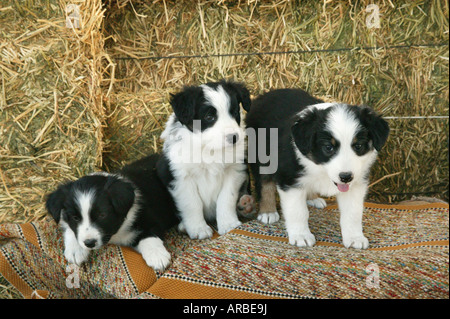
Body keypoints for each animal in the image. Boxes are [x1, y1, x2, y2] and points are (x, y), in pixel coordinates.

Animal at [45, 154, 178, 272]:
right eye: (75, 217)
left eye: (102, 215)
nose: (89, 243)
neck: (117, 233)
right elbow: (69, 226)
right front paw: (75, 250)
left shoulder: (150, 216)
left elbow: (149, 235)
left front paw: (157, 256)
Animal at [156, 80, 251, 240]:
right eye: (209, 117)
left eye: (234, 112)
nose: (233, 137)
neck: (209, 148)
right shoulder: (181, 177)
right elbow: (192, 203)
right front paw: (198, 229)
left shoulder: (234, 169)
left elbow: (226, 198)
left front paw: (228, 224)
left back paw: (245, 203)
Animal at [244, 89, 388, 250]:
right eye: (328, 147)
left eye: (358, 146)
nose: (346, 177)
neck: (320, 167)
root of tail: (263, 96)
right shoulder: (290, 180)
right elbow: (298, 211)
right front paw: (301, 236)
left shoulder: (356, 184)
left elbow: (353, 213)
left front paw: (354, 237)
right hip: (261, 155)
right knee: (265, 184)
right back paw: (268, 212)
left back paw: (313, 198)